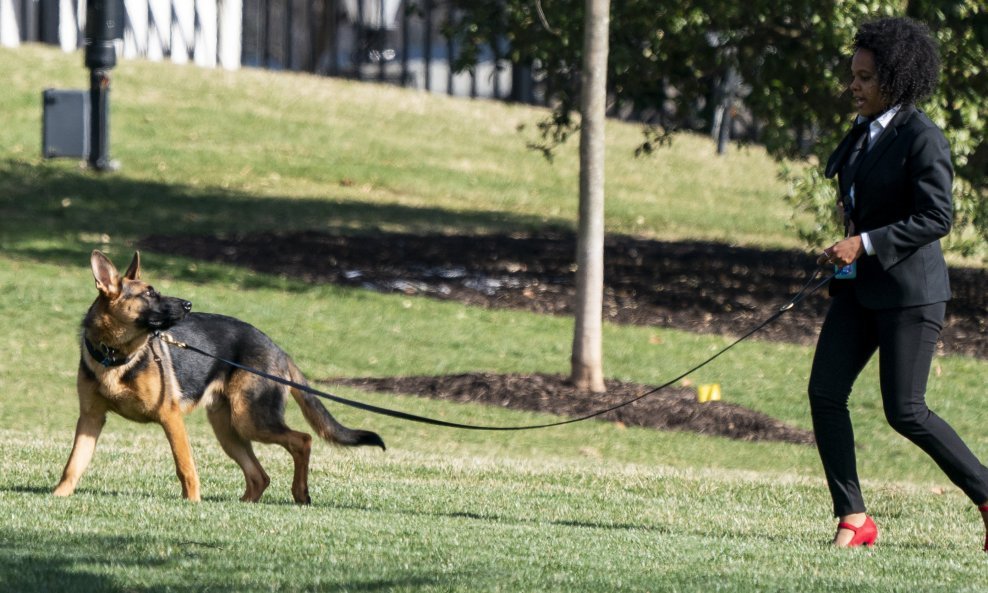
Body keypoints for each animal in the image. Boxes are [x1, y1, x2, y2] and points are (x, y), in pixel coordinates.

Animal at [53, 250, 386, 504]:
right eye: (149, 293)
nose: (188, 304)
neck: (115, 355)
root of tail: (278, 349)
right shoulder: (91, 419)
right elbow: (73, 464)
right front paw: (58, 496)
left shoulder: (170, 417)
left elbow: (185, 466)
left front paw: (192, 502)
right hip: (228, 428)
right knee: (260, 475)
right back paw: (245, 503)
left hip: (249, 420)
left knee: (302, 440)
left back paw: (300, 494)